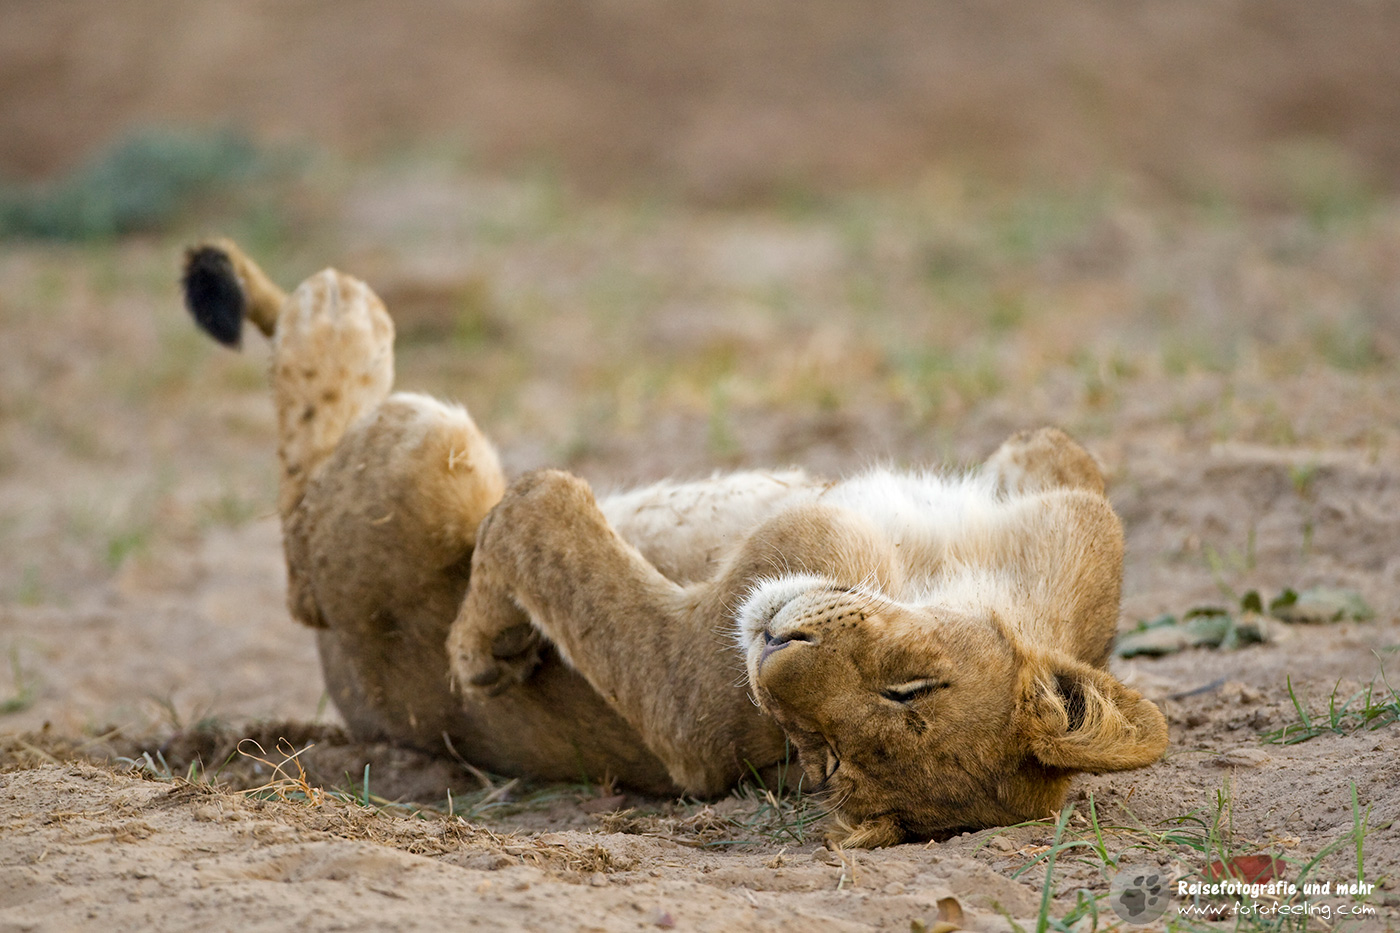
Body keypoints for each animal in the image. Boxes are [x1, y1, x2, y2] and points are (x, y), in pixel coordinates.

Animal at [182, 240, 1168, 847]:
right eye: (911, 685)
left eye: (825, 758)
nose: (773, 648)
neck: (940, 569)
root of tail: (357, 704)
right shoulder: (1075, 524)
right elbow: (1058, 449)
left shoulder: (689, 707)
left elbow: (541, 512)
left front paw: (482, 645)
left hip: (420, 460)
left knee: (307, 536)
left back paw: (327, 313)